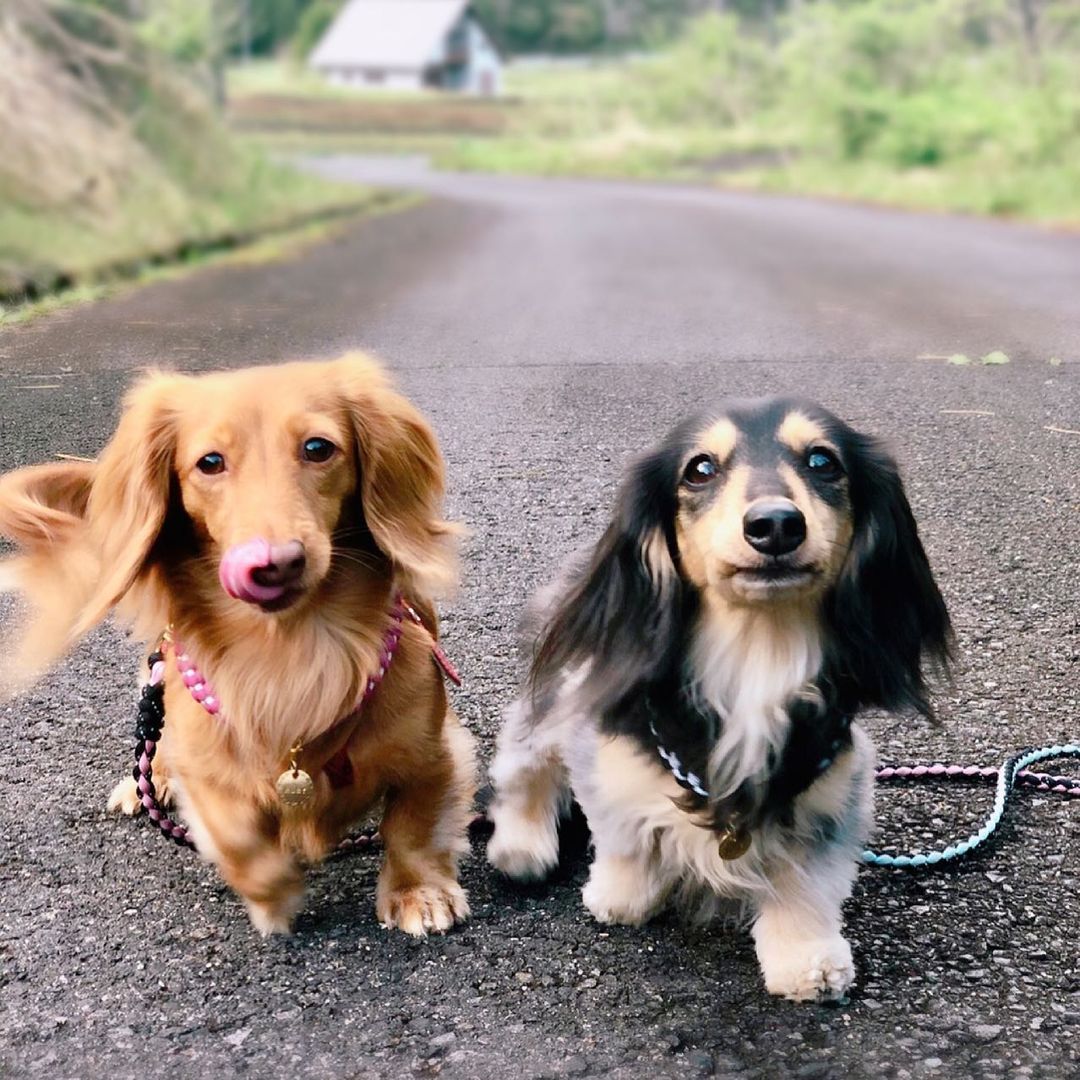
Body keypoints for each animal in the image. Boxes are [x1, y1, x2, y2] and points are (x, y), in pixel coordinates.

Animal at [0, 354, 473, 937]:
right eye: (209, 462)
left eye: (318, 448)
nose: (271, 564)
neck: (290, 651)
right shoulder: (208, 770)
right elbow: (237, 837)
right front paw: (274, 895)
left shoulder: (436, 750)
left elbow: (412, 824)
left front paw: (418, 892)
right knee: (153, 736)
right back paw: (144, 783)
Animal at [486, 399, 950, 1002]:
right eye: (700, 469)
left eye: (823, 461)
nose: (775, 524)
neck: (757, 655)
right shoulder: (606, 741)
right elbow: (623, 831)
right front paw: (621, 894)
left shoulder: (837, 780)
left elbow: (808, 879)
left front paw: (806, 957)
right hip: (553, 699)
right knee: (525, 771)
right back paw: (522, 845)